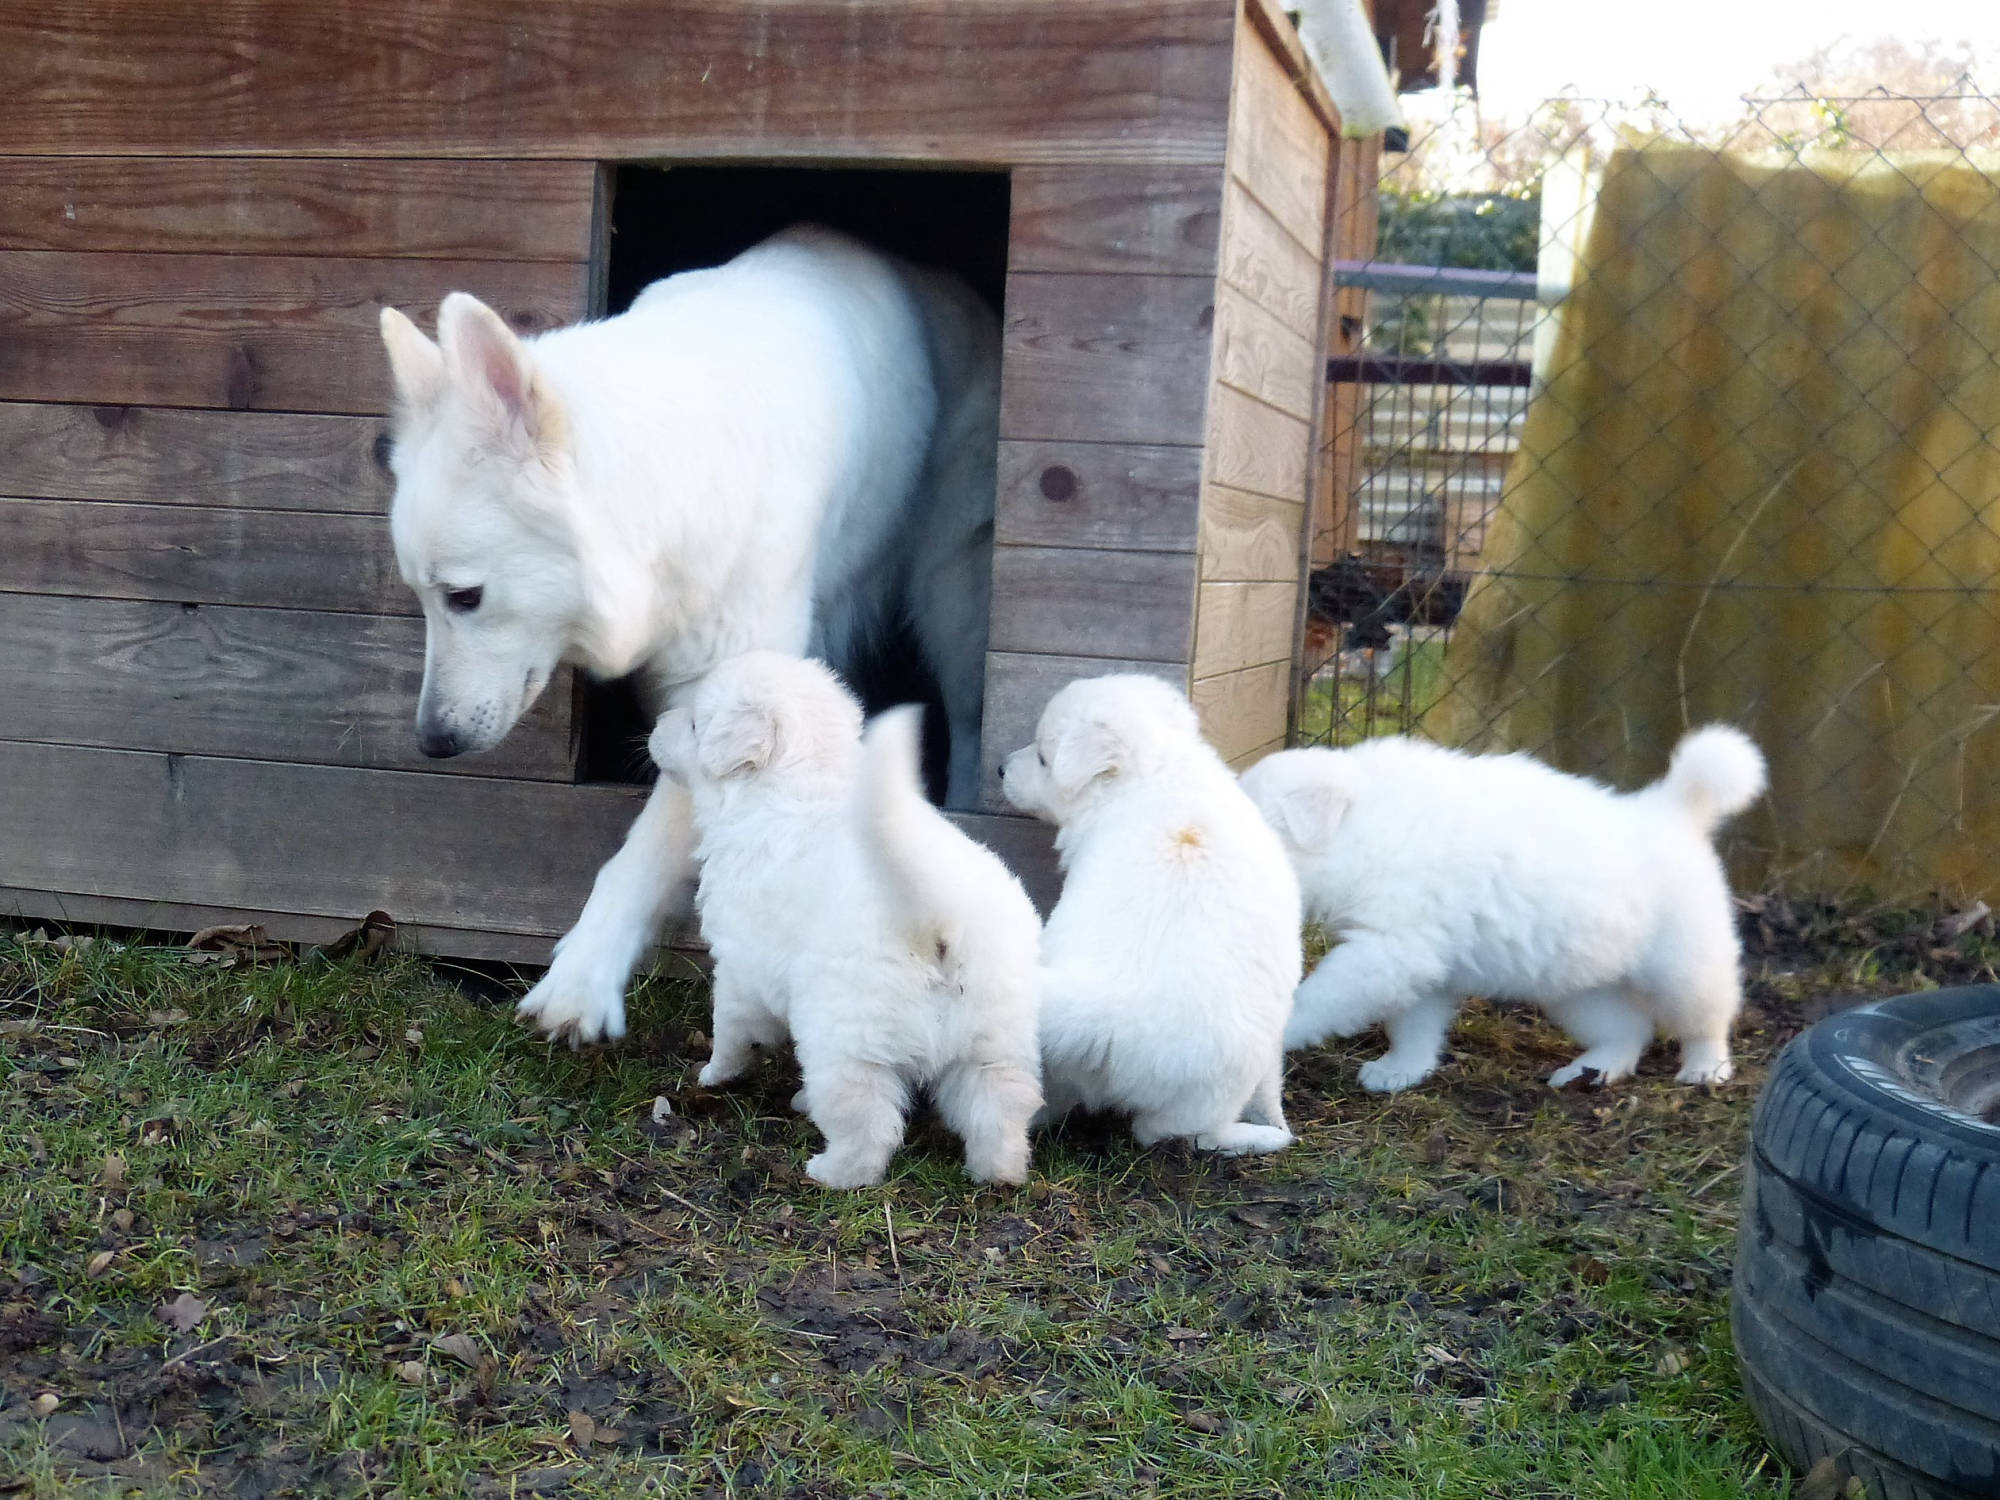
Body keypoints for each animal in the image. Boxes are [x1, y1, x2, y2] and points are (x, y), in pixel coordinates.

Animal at [376, 226, 1000, 1048]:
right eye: (422, 598)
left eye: (465, 597)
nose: (432, 743)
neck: (670, 489)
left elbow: (638, 857)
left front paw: (580, 983)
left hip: (951, 598)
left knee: (967, 715)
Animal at [652, 652, 1048, 1192]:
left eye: (694, 724)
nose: (654, 725)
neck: (801, 776)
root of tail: (938, 921)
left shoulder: (739, 966)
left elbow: (732, 1027)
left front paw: (714, 1073)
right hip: (997, 1039)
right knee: (1001, 1105)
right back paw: (998, 1173)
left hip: (845, 1043)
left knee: (868, 1125)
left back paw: (832, 1171)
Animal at [996, 676, 1296, 1160]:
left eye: (1043, 757)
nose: (1000, 769)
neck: (1155, 772)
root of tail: (1108, 1010)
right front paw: (1276, 1118)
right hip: (1222, 1075)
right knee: (1171, 1130)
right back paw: (1263, 1137)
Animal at [1240, 728, 1776, 1096]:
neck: (1366, 828)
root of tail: (1672, 810)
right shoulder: (1417, 961)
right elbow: (1413, 1026)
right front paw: (1400, 1070)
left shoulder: (1387, 952)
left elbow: (1318, 999)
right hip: (1577, 988)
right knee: (1629, 1030)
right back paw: (1593, 1071)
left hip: (1682, 966)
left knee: (1707, 1018)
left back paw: (1706, 1069)